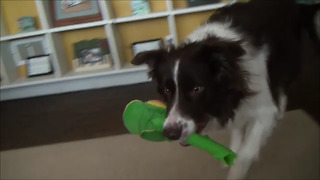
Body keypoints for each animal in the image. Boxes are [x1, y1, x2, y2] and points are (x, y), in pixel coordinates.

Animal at [131, 0, 318, 179]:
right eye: (167, 90)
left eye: (197, 89)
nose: (170, 134)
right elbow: (236, 129)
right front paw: (232, 152)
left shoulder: (263, 108)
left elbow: (246, 152)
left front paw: (237, 171)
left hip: (287, 60)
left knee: (282, 86)